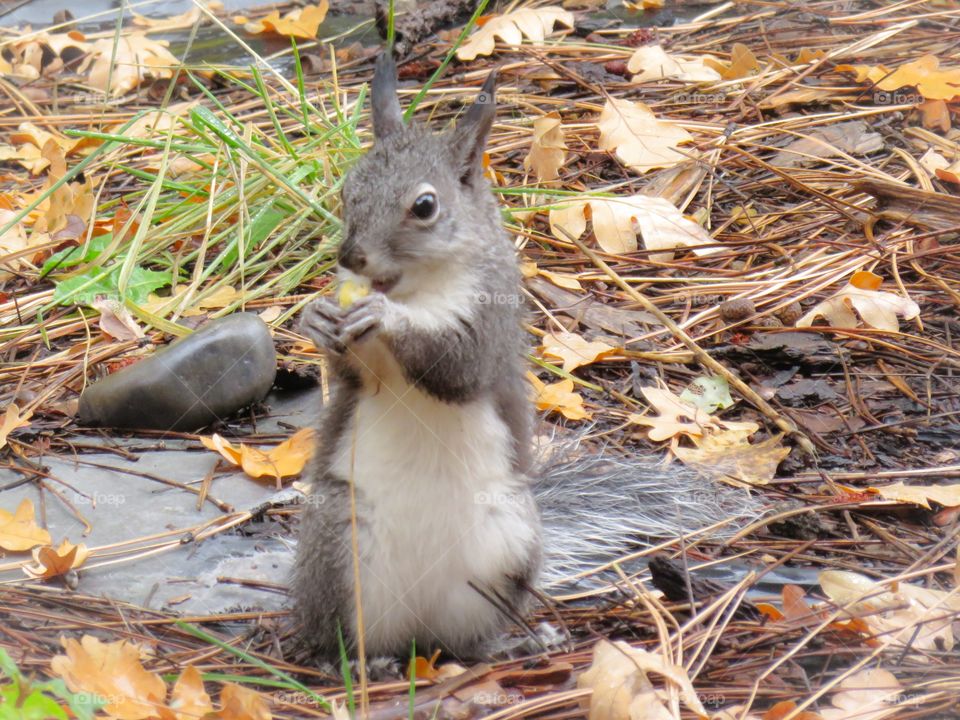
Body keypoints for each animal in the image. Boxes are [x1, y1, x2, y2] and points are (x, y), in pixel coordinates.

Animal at [292, 53, 764, 660]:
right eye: (348, 188)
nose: (351, 255)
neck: (413, 288)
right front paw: (315, 319)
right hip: (337, 539)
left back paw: (511, 645)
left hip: (508, 542)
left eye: (425, 206)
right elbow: (352, 374)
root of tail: (418, 634)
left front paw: (388, 320)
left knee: (471, 639)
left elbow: (460, 367)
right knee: (350, 636)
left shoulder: (491, 319)